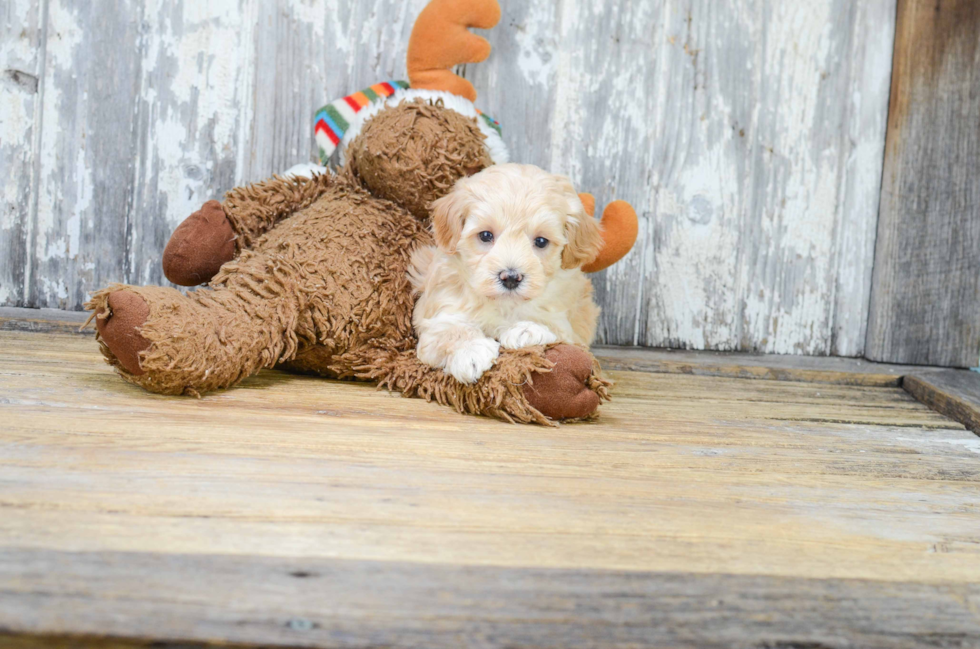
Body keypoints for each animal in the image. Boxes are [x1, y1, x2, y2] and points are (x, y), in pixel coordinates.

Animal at [408, 165, 604, 382]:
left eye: (541, 241)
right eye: (486, 235)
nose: (510, 278)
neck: (503, 303)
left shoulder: (570, 325)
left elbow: (555, 326)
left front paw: (527, 329)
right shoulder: (440, 311)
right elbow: (449, 330)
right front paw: (471, 351)